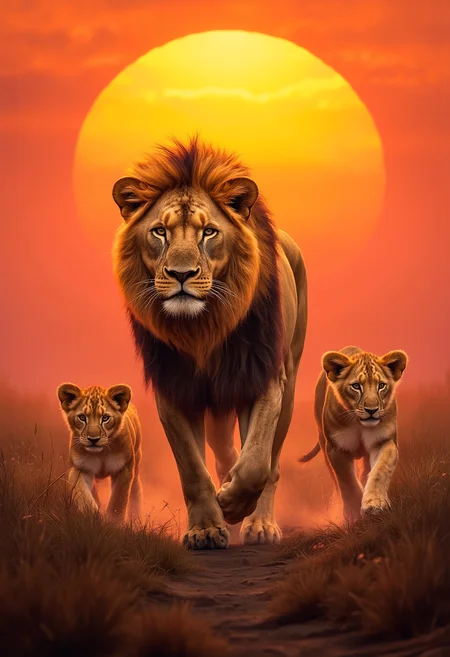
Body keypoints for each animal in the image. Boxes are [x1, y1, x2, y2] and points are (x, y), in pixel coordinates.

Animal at [57, 383, 143, 523]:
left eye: (105, 418)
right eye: (82, 417)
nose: (93, 439)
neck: (101, 453)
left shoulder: (124, 469)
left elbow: (118, 501)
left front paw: (113, 523)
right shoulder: (80, 468)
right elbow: (84, 497)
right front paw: (96, 519)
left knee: (135, 491)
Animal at [112, 137, 307, 549]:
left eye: (209, 233)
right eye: (160, 232)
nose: (181, 274)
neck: (203, 329)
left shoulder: (263, 378)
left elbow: (256, 463)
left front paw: (233, 505)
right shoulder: (174, 387)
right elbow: (192, 469)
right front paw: (205, 527)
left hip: (291, 380)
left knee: (271, 462)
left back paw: (259, 523)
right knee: (222, 451)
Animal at [299, 346, 408, 522]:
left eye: (381, 385)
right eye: (356, 386)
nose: (372, 410)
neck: (359, 423)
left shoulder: (384, 441)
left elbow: (380, 470)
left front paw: (374, 504)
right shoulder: (336, 449)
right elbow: (347, 481)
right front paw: (353, 513)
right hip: (323, 442)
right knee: (337, 481)